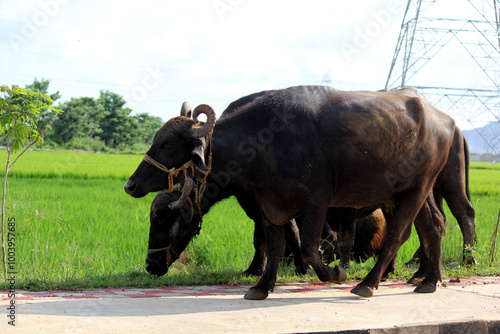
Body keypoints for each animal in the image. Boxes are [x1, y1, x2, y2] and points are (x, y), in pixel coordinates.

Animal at [126, 86, 458, 300]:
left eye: (168, 143)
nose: (130, 185)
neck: (263, 141)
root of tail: (445, 119)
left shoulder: (315, 203)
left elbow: (308, 247)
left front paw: (334, 273)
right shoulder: (270, 204)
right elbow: (273, 244)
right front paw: (261, 285)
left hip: (418, 189)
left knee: (398, 233)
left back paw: (368, 283)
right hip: (404, 193)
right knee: (432, 227)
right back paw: (428, 280)